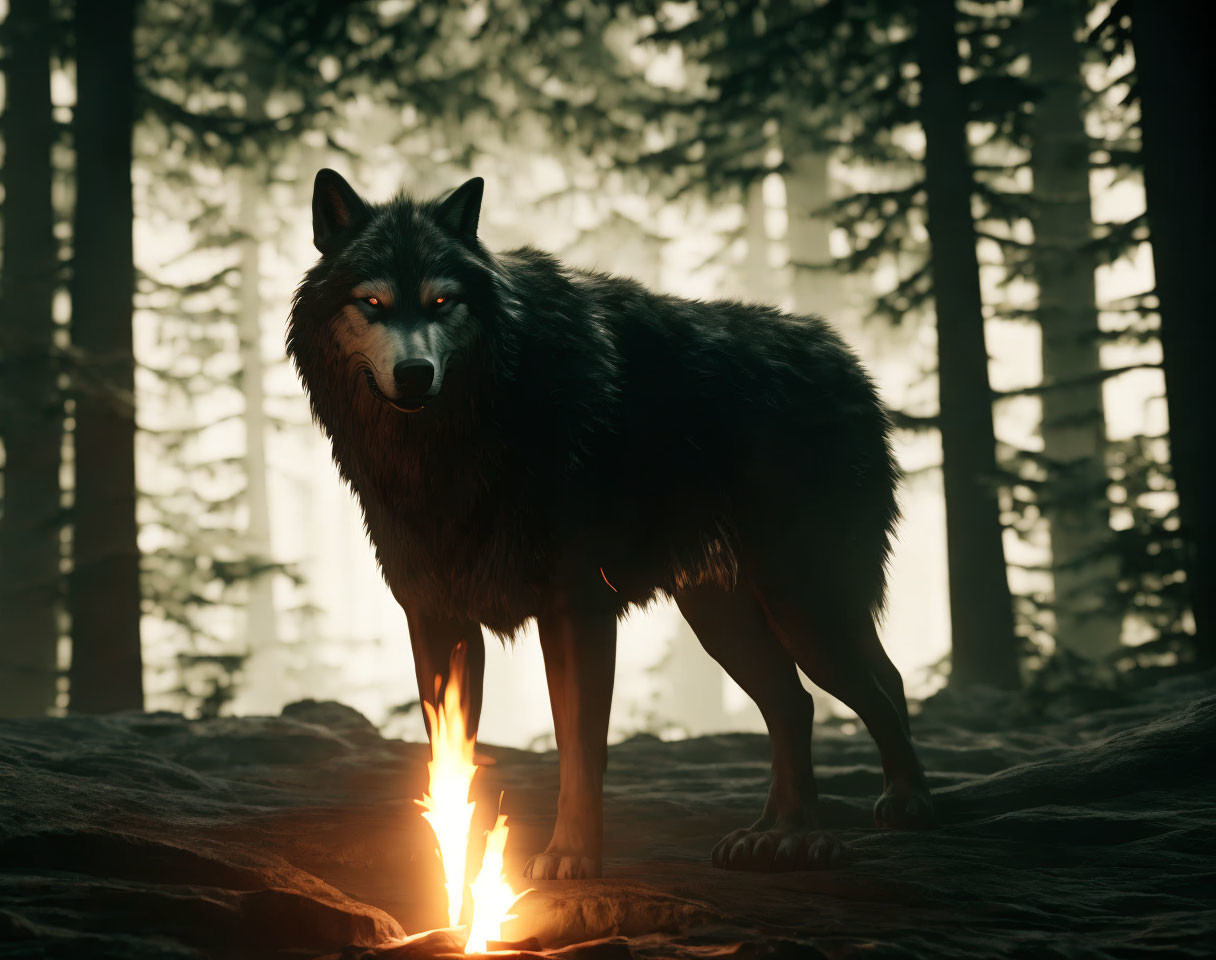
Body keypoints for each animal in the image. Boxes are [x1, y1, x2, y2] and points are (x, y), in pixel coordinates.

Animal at [289, 170, 933, 876]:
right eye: (373, 301)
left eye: (441, 301)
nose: (413, 374)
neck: (456, 444)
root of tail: (845, 357)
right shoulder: (437, 619)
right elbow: (452, 756)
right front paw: (454, 872)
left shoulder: (577, 608)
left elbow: (579, 748)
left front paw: (569, 858)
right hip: (722, 616)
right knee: (801, 701)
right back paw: (775, 833)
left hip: (803, 608)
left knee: (879, 684)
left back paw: (891, 807)